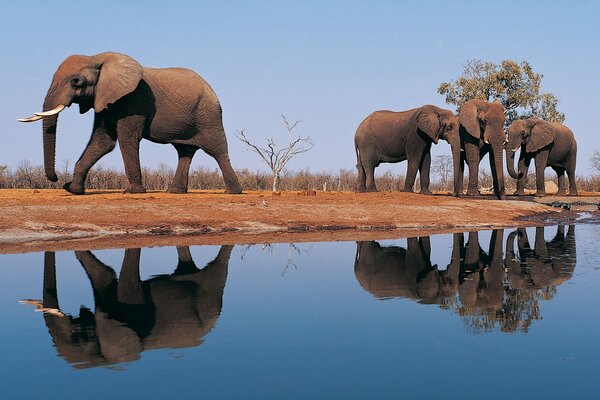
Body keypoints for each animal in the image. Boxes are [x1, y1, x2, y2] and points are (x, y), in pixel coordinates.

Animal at [18, 51, 244, 195]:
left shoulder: (133, 100)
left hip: (209, 115)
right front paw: (73, 190)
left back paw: (232, 192)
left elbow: (127, 139)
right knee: (184, 151)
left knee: (217, 150)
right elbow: (102, 142)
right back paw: (174, 192)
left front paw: (133, 192)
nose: (56, 179)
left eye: (76, 81)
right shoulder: (106, 101)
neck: (97, 59)